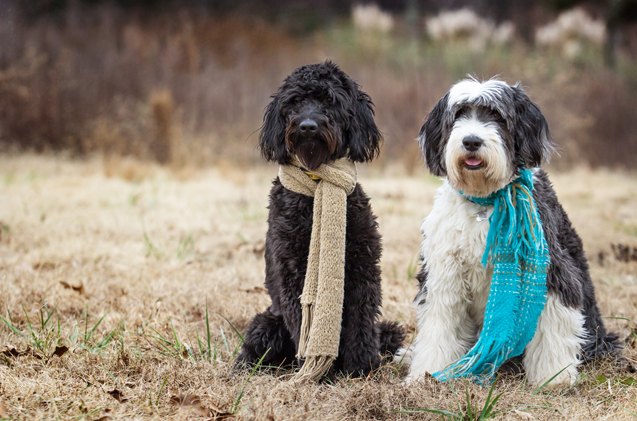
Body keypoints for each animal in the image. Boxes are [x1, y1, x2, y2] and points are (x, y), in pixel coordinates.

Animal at [234, 60, 402, 376]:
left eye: (330, 101)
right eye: (295, 102)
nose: (308, 126)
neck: (315, 188)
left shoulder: (363, 269)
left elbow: (361, 322)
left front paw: (361, 367)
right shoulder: (292, 273)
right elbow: (305, 324)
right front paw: (321, 372)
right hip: (267, 323)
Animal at [402, 77, 616, 386]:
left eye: (497, 116)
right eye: (459, 114)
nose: (471, 141)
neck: (486, 200)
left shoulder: (554, 272)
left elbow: (551, 327)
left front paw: (554, 378)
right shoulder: (444, 273)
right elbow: (439, 325)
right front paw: (426, 374)